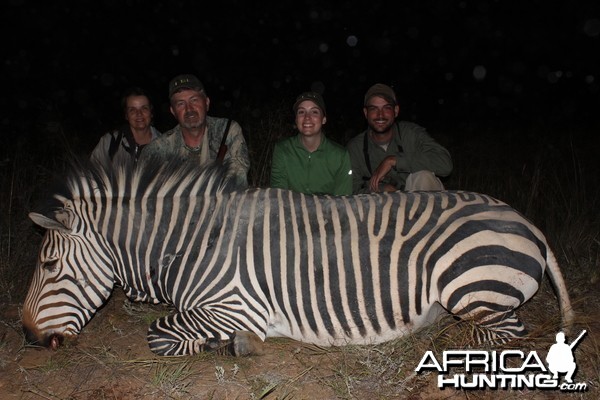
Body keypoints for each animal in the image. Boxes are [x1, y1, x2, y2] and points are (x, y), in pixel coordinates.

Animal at [23, 156, 576, 356]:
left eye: (48, 267)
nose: (27, 337)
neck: (192, 242)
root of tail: (528, 222)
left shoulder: (232, 306)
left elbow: (161, 335)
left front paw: (232, 346)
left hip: (472, 287)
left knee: (505, 333)